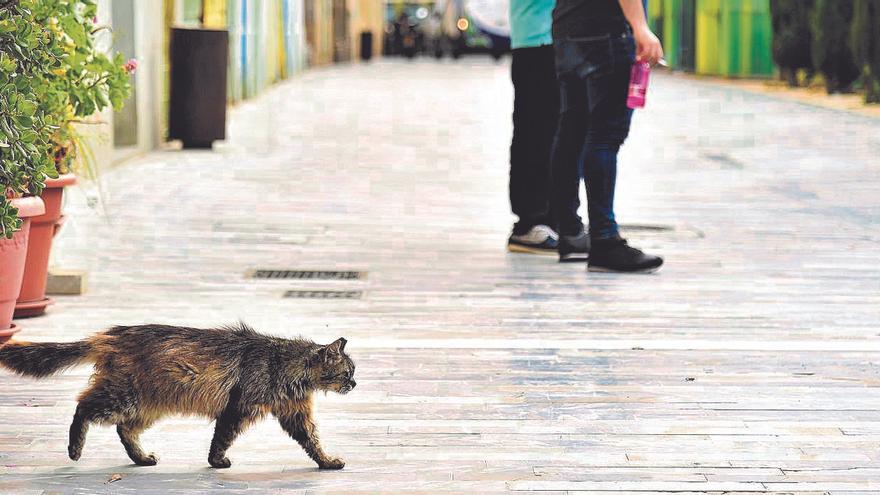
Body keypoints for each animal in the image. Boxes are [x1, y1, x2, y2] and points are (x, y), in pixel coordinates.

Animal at [0, 324, 354, 470]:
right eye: (348, 372)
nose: (355, 383)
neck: (285, 365)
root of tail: (111, 335)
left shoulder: (295, 413)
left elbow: (312, 442)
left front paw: (326, 462)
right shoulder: (238, 407)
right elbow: (222, 438)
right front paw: (216, 462)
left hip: (146, 404)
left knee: (124, 430)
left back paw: (142, 459)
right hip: (123, 395)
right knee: (83, 406)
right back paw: (75, 450)